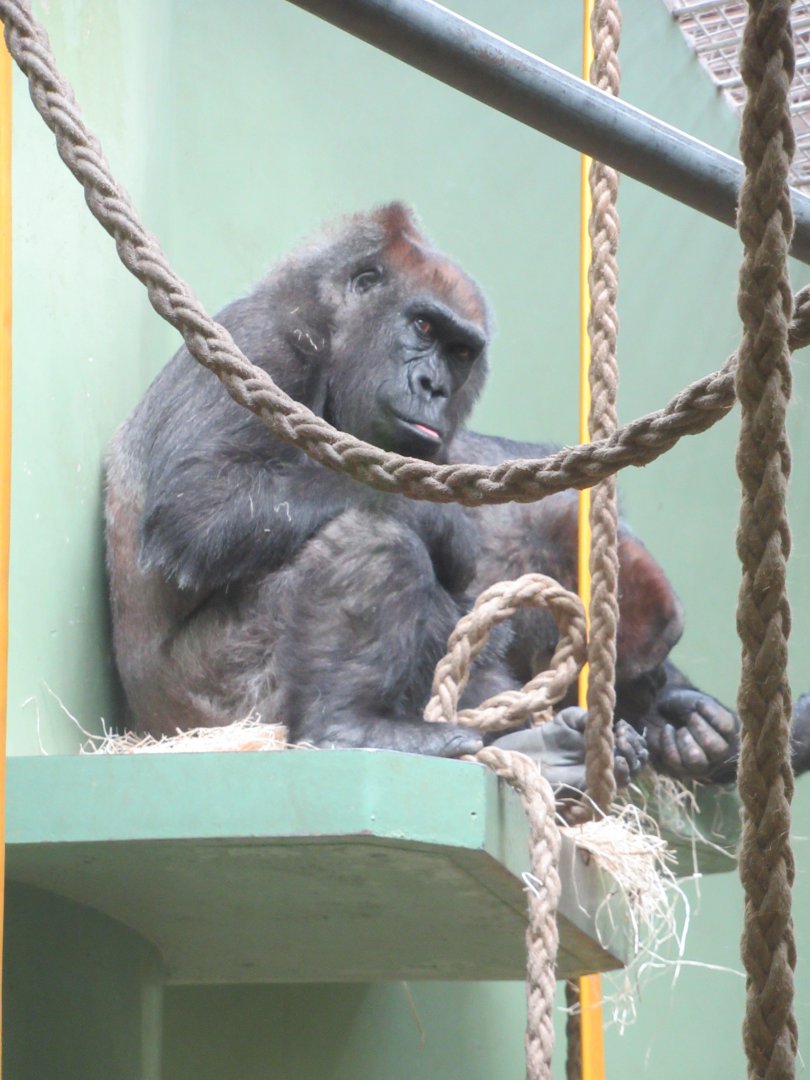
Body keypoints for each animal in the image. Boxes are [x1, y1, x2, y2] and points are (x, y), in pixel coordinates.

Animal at [104, 202, 809, 791]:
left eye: (461, 352)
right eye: (421, 326)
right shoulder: (263, 340)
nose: (433, 386)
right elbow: (203, 502)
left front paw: (686, 719)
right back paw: (350, 725)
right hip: (218, 713)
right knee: (373, 534)